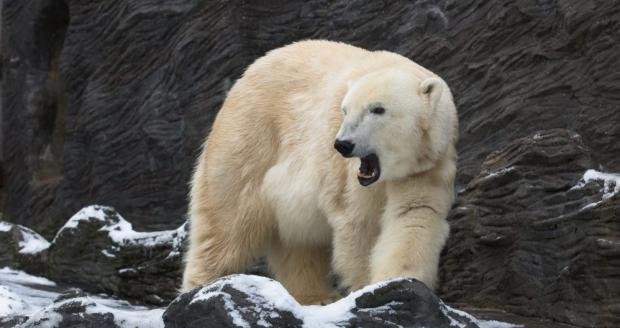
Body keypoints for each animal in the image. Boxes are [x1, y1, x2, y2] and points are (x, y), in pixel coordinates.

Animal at [182, 39, 458, 304]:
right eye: (345, 110)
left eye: (378, 109)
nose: (343, 144)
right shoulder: (344, 173)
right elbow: (358, 224)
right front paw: (365, 285)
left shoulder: (426, 165)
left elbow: (413, 215)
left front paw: (398, 281)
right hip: (247, 141)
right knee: (226, 223)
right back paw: (200, 286)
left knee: (298, 242)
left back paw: (316, 297)